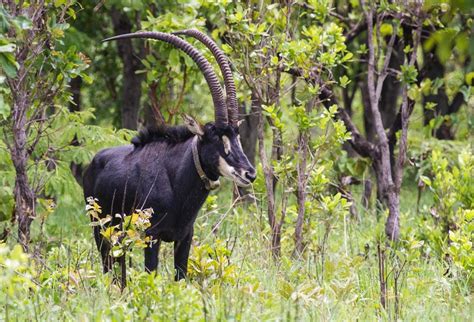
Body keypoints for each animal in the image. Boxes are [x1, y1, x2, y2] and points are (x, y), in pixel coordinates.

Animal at [83, 30, 258, 282]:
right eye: (216, 138)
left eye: (237, 136)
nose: (249, 173)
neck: (176, 178)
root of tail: (92, 164)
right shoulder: (151, 235)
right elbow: (151, 276)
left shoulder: (184, 237)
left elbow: (180, 279)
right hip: (102, 230)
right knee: (109, 268)